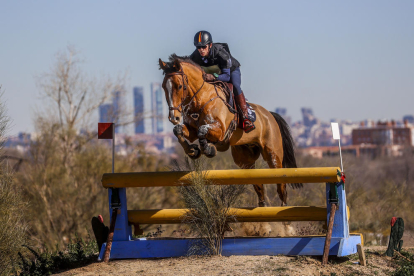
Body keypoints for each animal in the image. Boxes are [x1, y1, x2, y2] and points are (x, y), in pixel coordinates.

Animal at [159, 54, 300, 206]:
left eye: (179, 86)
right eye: (163, 87)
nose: (174, 117)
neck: (202, 98)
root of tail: (270, 115)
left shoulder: (220, 130)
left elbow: (202, 130)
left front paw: (209, 149)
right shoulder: (190, 130)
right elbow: (179, 130)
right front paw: (192, 151)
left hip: (273, 154)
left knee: (281, 186)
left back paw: (282, 208)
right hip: (245, 159)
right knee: (258, 186)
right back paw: (263, 207)